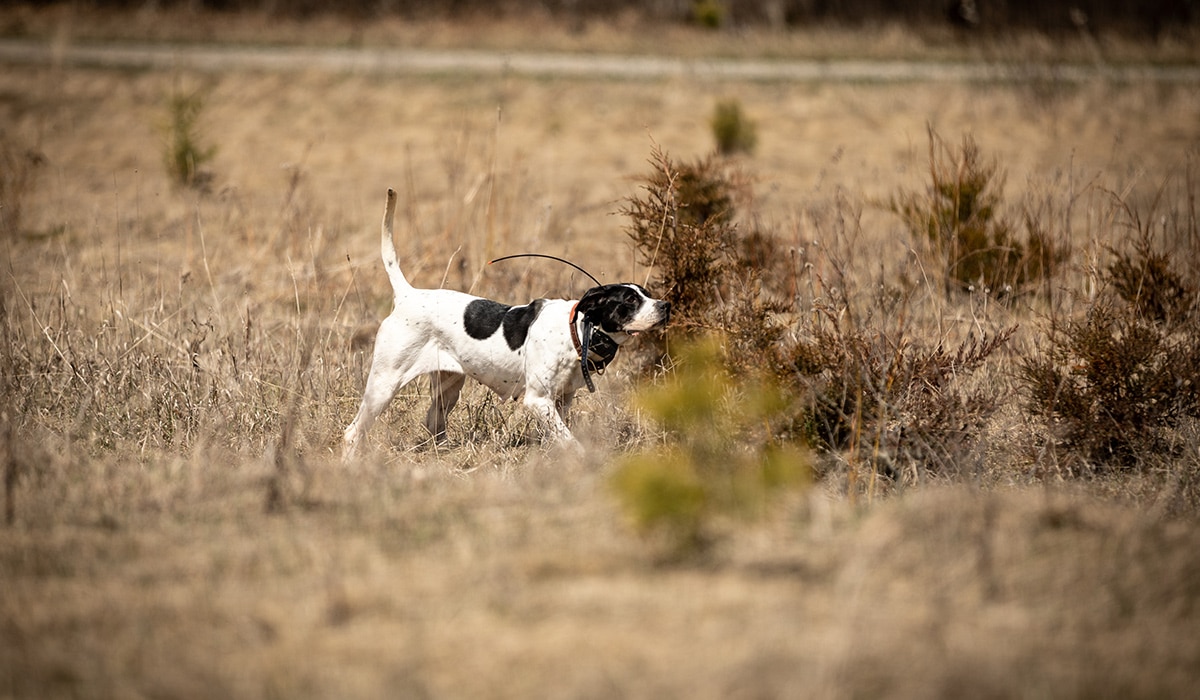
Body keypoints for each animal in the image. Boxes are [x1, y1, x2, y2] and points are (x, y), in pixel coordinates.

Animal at [343, 187, 672, 461]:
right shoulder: (538, 400)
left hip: (448, 388)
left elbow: (558, 435)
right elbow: (569, 440)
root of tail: (408, 294)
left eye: (647, 294)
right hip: (384, 385)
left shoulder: (562, 400)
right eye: (629, 300)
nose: (665, 306)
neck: (578, 332)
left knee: (433, 422)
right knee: (352, 432)